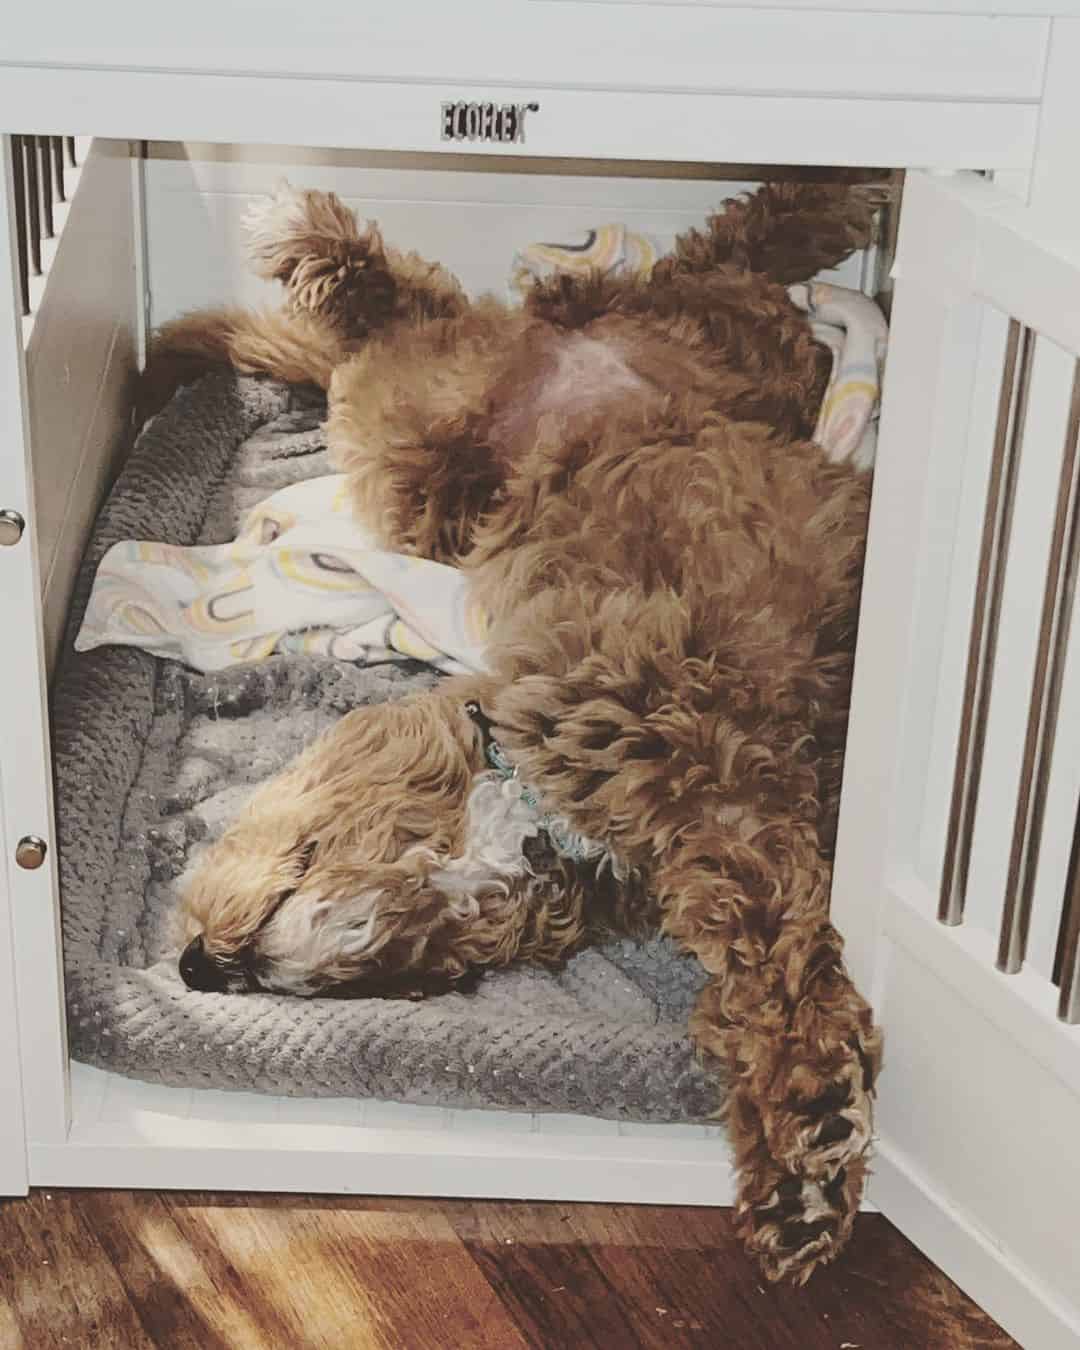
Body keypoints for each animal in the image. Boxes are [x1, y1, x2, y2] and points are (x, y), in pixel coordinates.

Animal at [157, 174, 885, 1279]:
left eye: (266, 827)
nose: (195, 963)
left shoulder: (689, 747)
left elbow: (782, 951)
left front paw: (808, 1129)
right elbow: (772, 958)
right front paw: (802, 1167)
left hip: (437, 423)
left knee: (434, 302)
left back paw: (312, 238)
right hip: (449, 461)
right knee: (713, 249)